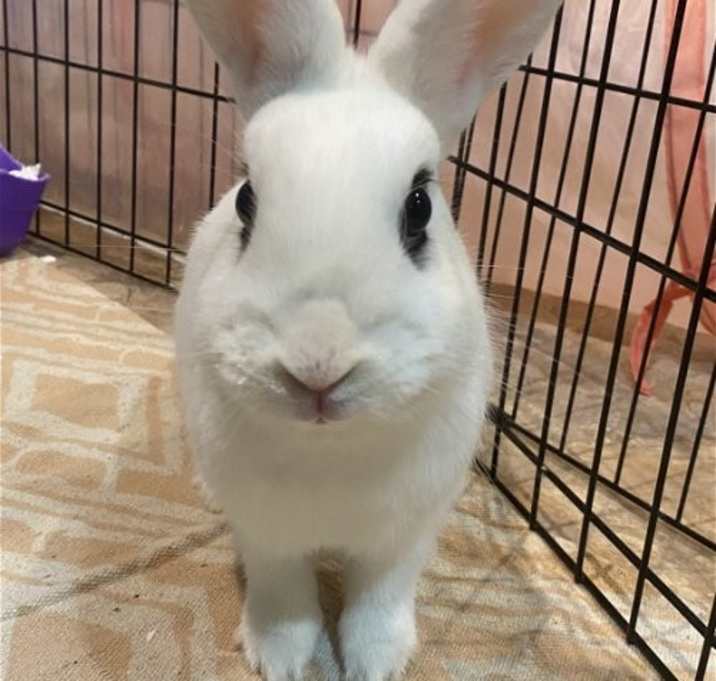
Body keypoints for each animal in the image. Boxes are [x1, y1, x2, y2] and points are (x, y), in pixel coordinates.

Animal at [175, 1, 561, 679]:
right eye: (247, 201)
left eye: (420, 207)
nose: (316, 364)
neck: (330, 449)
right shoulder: (267, 533)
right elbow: (285, 597)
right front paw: (279, 658)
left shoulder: (402, 537)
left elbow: (377, 601)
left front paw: (377, 662)